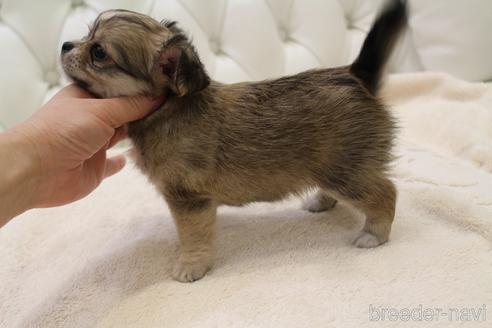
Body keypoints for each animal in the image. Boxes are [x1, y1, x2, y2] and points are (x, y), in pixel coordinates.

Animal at [61, 0, 408, 282]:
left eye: (98, 52)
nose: (64, 45)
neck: (168, 109)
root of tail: (356, 76)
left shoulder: (188, 200)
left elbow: (192, 236)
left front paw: (190, 266)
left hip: (347, 172)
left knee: (385, 193)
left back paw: (374, 234)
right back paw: (320, 202)